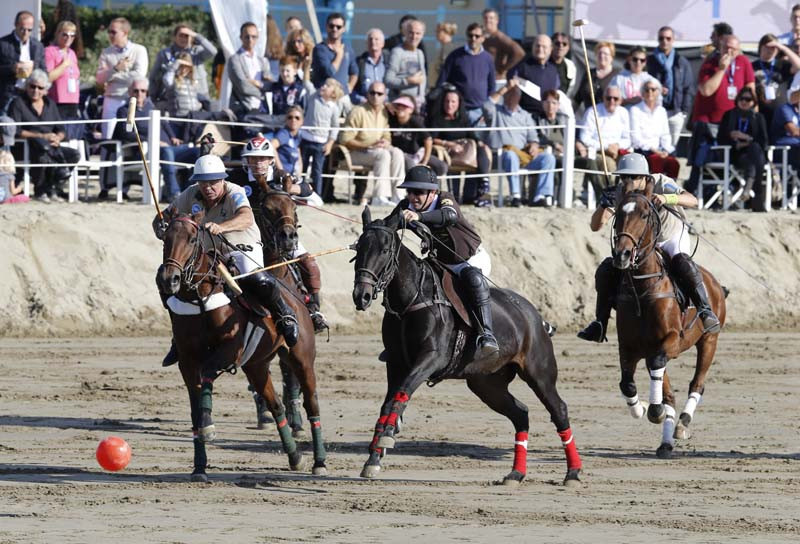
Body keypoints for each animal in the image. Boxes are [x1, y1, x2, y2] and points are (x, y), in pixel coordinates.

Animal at [156, 212, 324, 480]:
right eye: (165, 238)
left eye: (192, 239)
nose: (168, 279)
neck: (200, 300)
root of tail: (297, 298)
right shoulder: (187, 361)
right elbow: (195, 408)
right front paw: (199, 466)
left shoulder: (229, 351)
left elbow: (207, 375)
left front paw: (208, 427)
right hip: (256, 366)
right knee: (276, 406)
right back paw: (295, 457)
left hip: (302, 359)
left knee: (311, 403)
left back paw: (319, 461)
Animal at [350, 209, 580, 488]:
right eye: (359, 248)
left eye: (384, 250)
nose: (361, 295)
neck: (413, 300)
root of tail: (534, 315)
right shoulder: (396, 363)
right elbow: (388, 403)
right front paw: (373, 458)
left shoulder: (430, 359)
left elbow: (401, 394)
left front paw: (386, 440)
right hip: (486, 384)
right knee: (521, 414)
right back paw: (516, 474)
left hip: (540, 373)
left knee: (559, 409)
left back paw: (573, 473)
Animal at [612, 184, 724, 460]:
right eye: (617, 213)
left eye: (644, 215)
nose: (622, 254)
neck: (643, 289)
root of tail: (714, 282)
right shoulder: (628, 347)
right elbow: (627, 383)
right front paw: (642, 407)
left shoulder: (672, 340)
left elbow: (657, 365)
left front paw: (653, 410)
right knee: (668, 392)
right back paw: (665, 441)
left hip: (709, 340)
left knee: (697, 383)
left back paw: (681, 424)